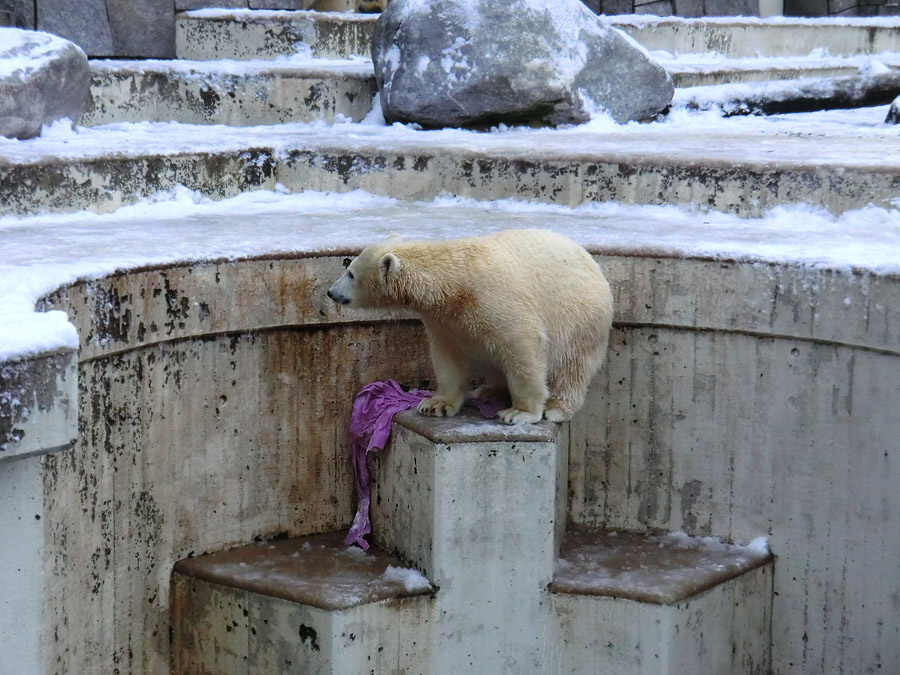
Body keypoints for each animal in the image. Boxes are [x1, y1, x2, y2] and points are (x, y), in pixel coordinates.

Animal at [326, 230, 616, 426]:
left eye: (350, 273)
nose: (330, 292)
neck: (453, 282)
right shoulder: (444, 321)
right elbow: (448, 358)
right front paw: (436, 404)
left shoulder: (493, 300)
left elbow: (522, 349)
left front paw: (519, 412)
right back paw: (487, 389)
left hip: (580, 317)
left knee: (573, 366)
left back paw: (556, 408)